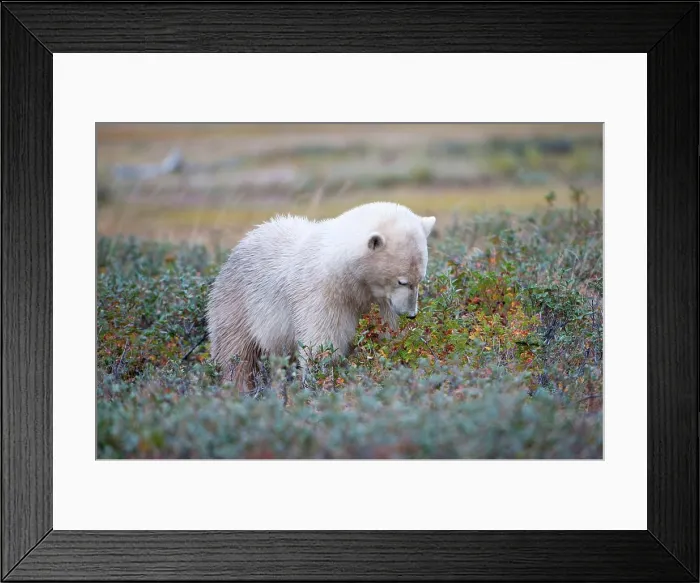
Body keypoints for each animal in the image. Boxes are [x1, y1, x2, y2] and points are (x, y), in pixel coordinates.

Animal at [206, 201, 436, 391]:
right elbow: (322, 344)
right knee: (237, 354)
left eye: (420, 279)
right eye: (402, 281)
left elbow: (385, 331)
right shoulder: (321, 295)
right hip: (238, 303)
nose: (411, 314)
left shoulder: (376, 297)